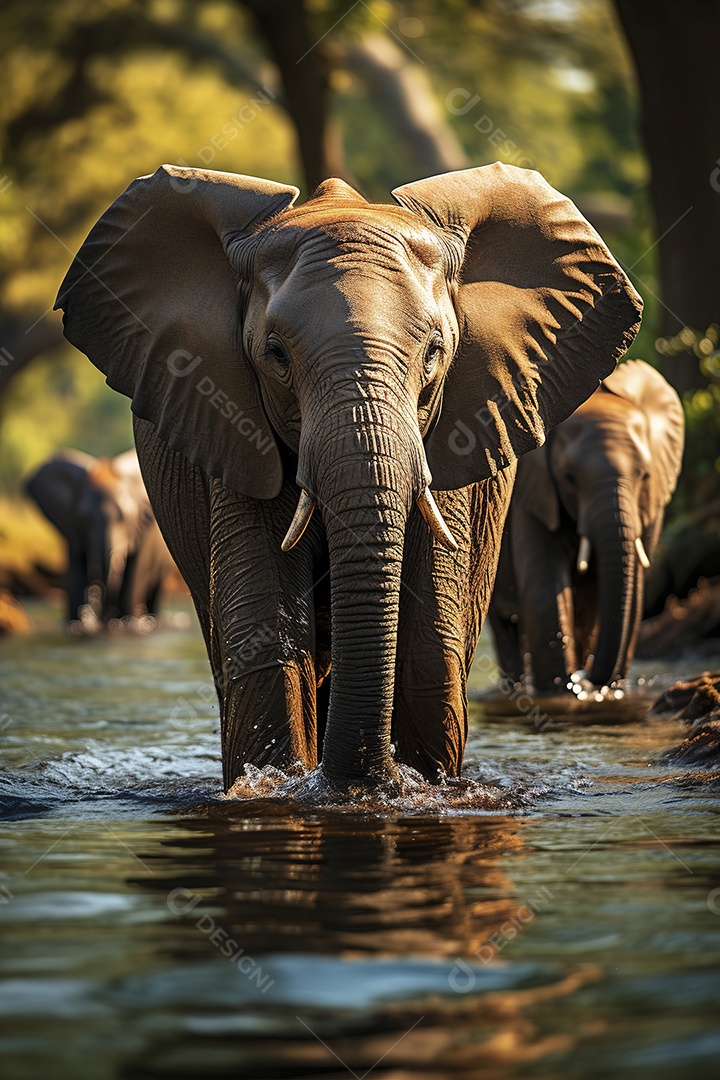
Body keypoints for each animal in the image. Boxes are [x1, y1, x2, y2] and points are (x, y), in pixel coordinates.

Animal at [24, 444, 171, 626]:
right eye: (85, 519)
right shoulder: (72, 528)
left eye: (124, 518)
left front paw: (130, 623)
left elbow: (133, 583)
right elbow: (76, 579)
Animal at [55, 159, 643, 790]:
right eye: (276, 354)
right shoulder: (230, 421)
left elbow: (429, 640)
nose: (367, 778)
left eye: (434, 352)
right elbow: (265, 633)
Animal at [487, 356, 686, 691]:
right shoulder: (532, 493)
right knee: (504, 627)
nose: (593, 681)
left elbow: (632, 597)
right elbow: (544, 590)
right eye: (569, 478)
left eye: (645, 476)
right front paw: (563, 690)